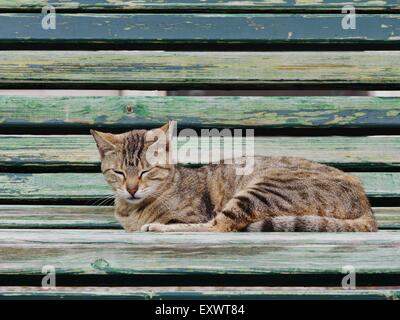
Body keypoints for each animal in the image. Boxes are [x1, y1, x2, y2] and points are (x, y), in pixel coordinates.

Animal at [90, 122, 378, 232]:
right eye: (118, 172)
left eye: (146, 171)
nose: (131, 189)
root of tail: (367, 206)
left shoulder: (192, 214)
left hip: (265, 189)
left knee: (217, 226)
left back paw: (157, 228)